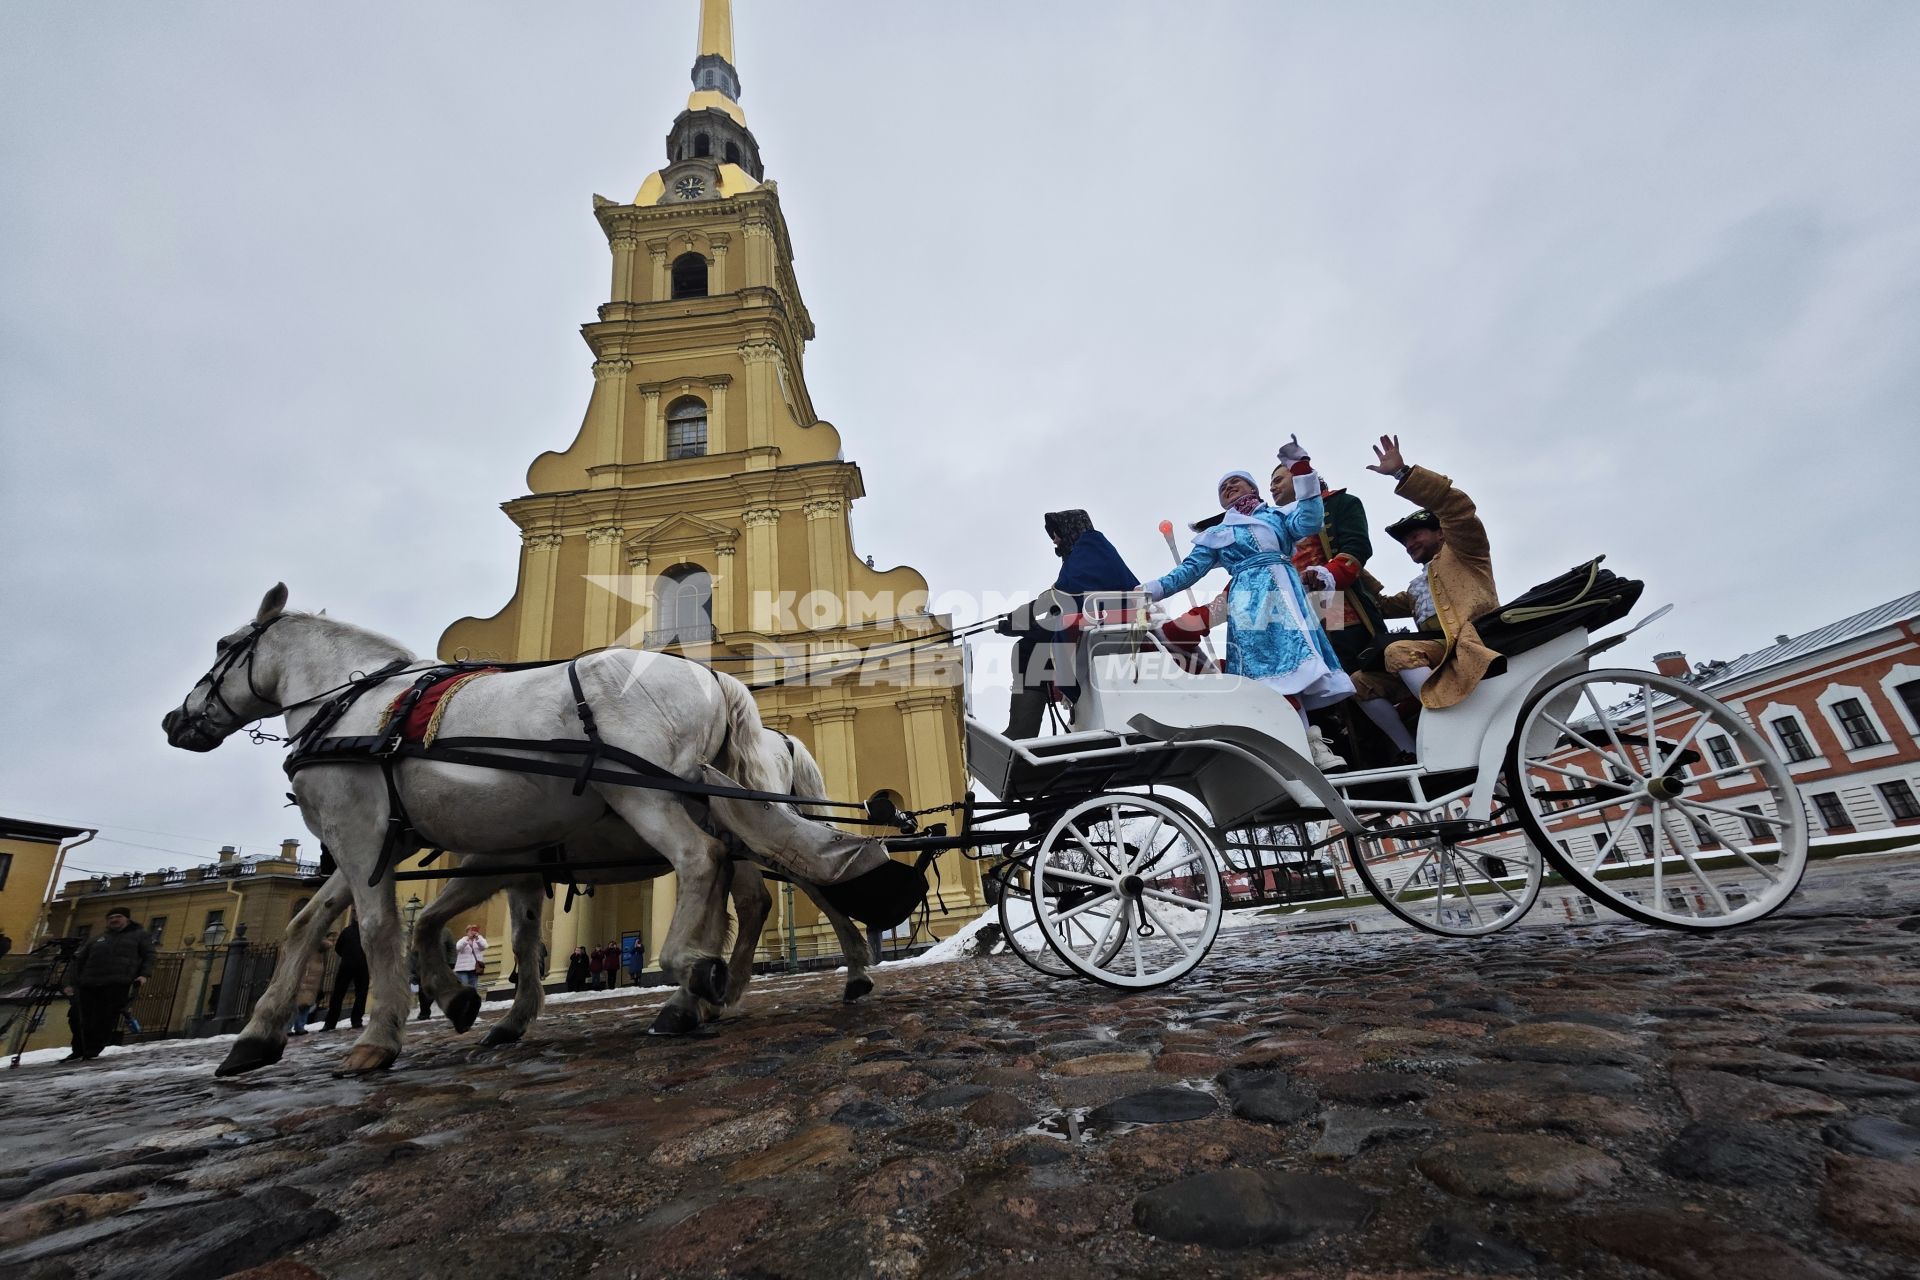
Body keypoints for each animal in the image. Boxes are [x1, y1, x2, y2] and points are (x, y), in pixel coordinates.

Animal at [165, 587, 890, 1074]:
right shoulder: (437, 851)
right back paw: (718, 989)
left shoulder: (363, 834)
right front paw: (257, 1037)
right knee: (772, 884)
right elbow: (321, 925)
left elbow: (378, 932)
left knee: (706, 864)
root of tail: (713, 675)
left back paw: (699, 973)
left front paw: (380, 1038)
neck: (362, 711)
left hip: (649, 797)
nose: (177, 720)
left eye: (225, 647)